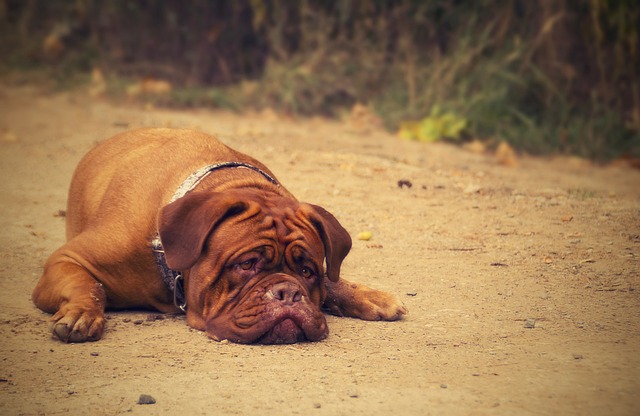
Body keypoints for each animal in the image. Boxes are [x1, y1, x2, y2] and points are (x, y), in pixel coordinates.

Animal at [31, 128, 404, 342]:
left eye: (307, 271)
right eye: (247, 264)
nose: (287, 293)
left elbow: (332, 281)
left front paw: (367, 295)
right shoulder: (67, 260)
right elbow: (88, 285)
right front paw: (81, 314)